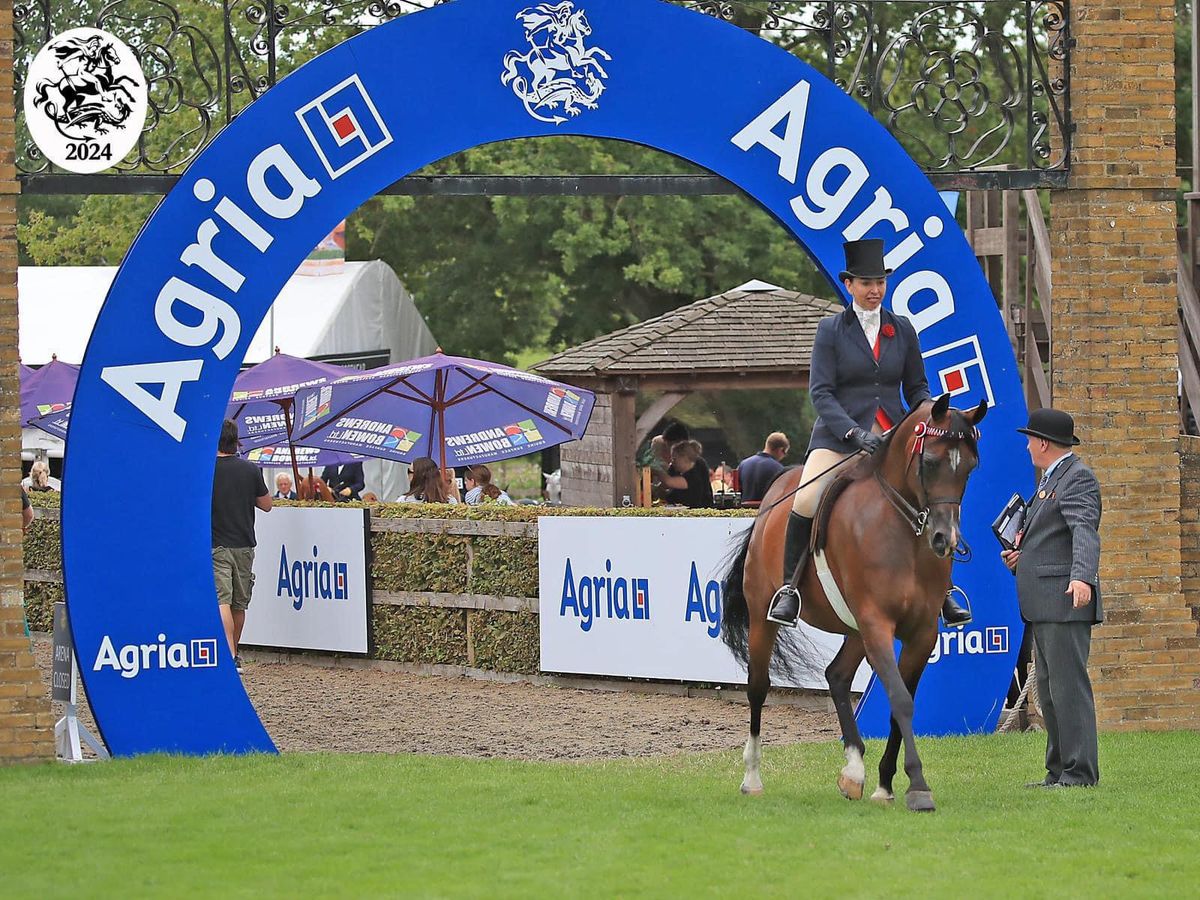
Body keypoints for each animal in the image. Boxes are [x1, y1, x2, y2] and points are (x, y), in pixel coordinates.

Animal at [720, 398, 984, 816]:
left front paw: (885, 783)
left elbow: (898, 704)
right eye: (930, 462)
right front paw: (918, 786)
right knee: (758, 687)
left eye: (970, 467)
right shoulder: (877, 623)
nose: (945, 540)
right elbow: (900, 700)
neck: (904, 533)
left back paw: (854, 771)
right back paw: (752, 778)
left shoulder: (921, 633)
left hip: (855, 629)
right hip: (767, 617)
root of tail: (770, 500)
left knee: (837, 676)